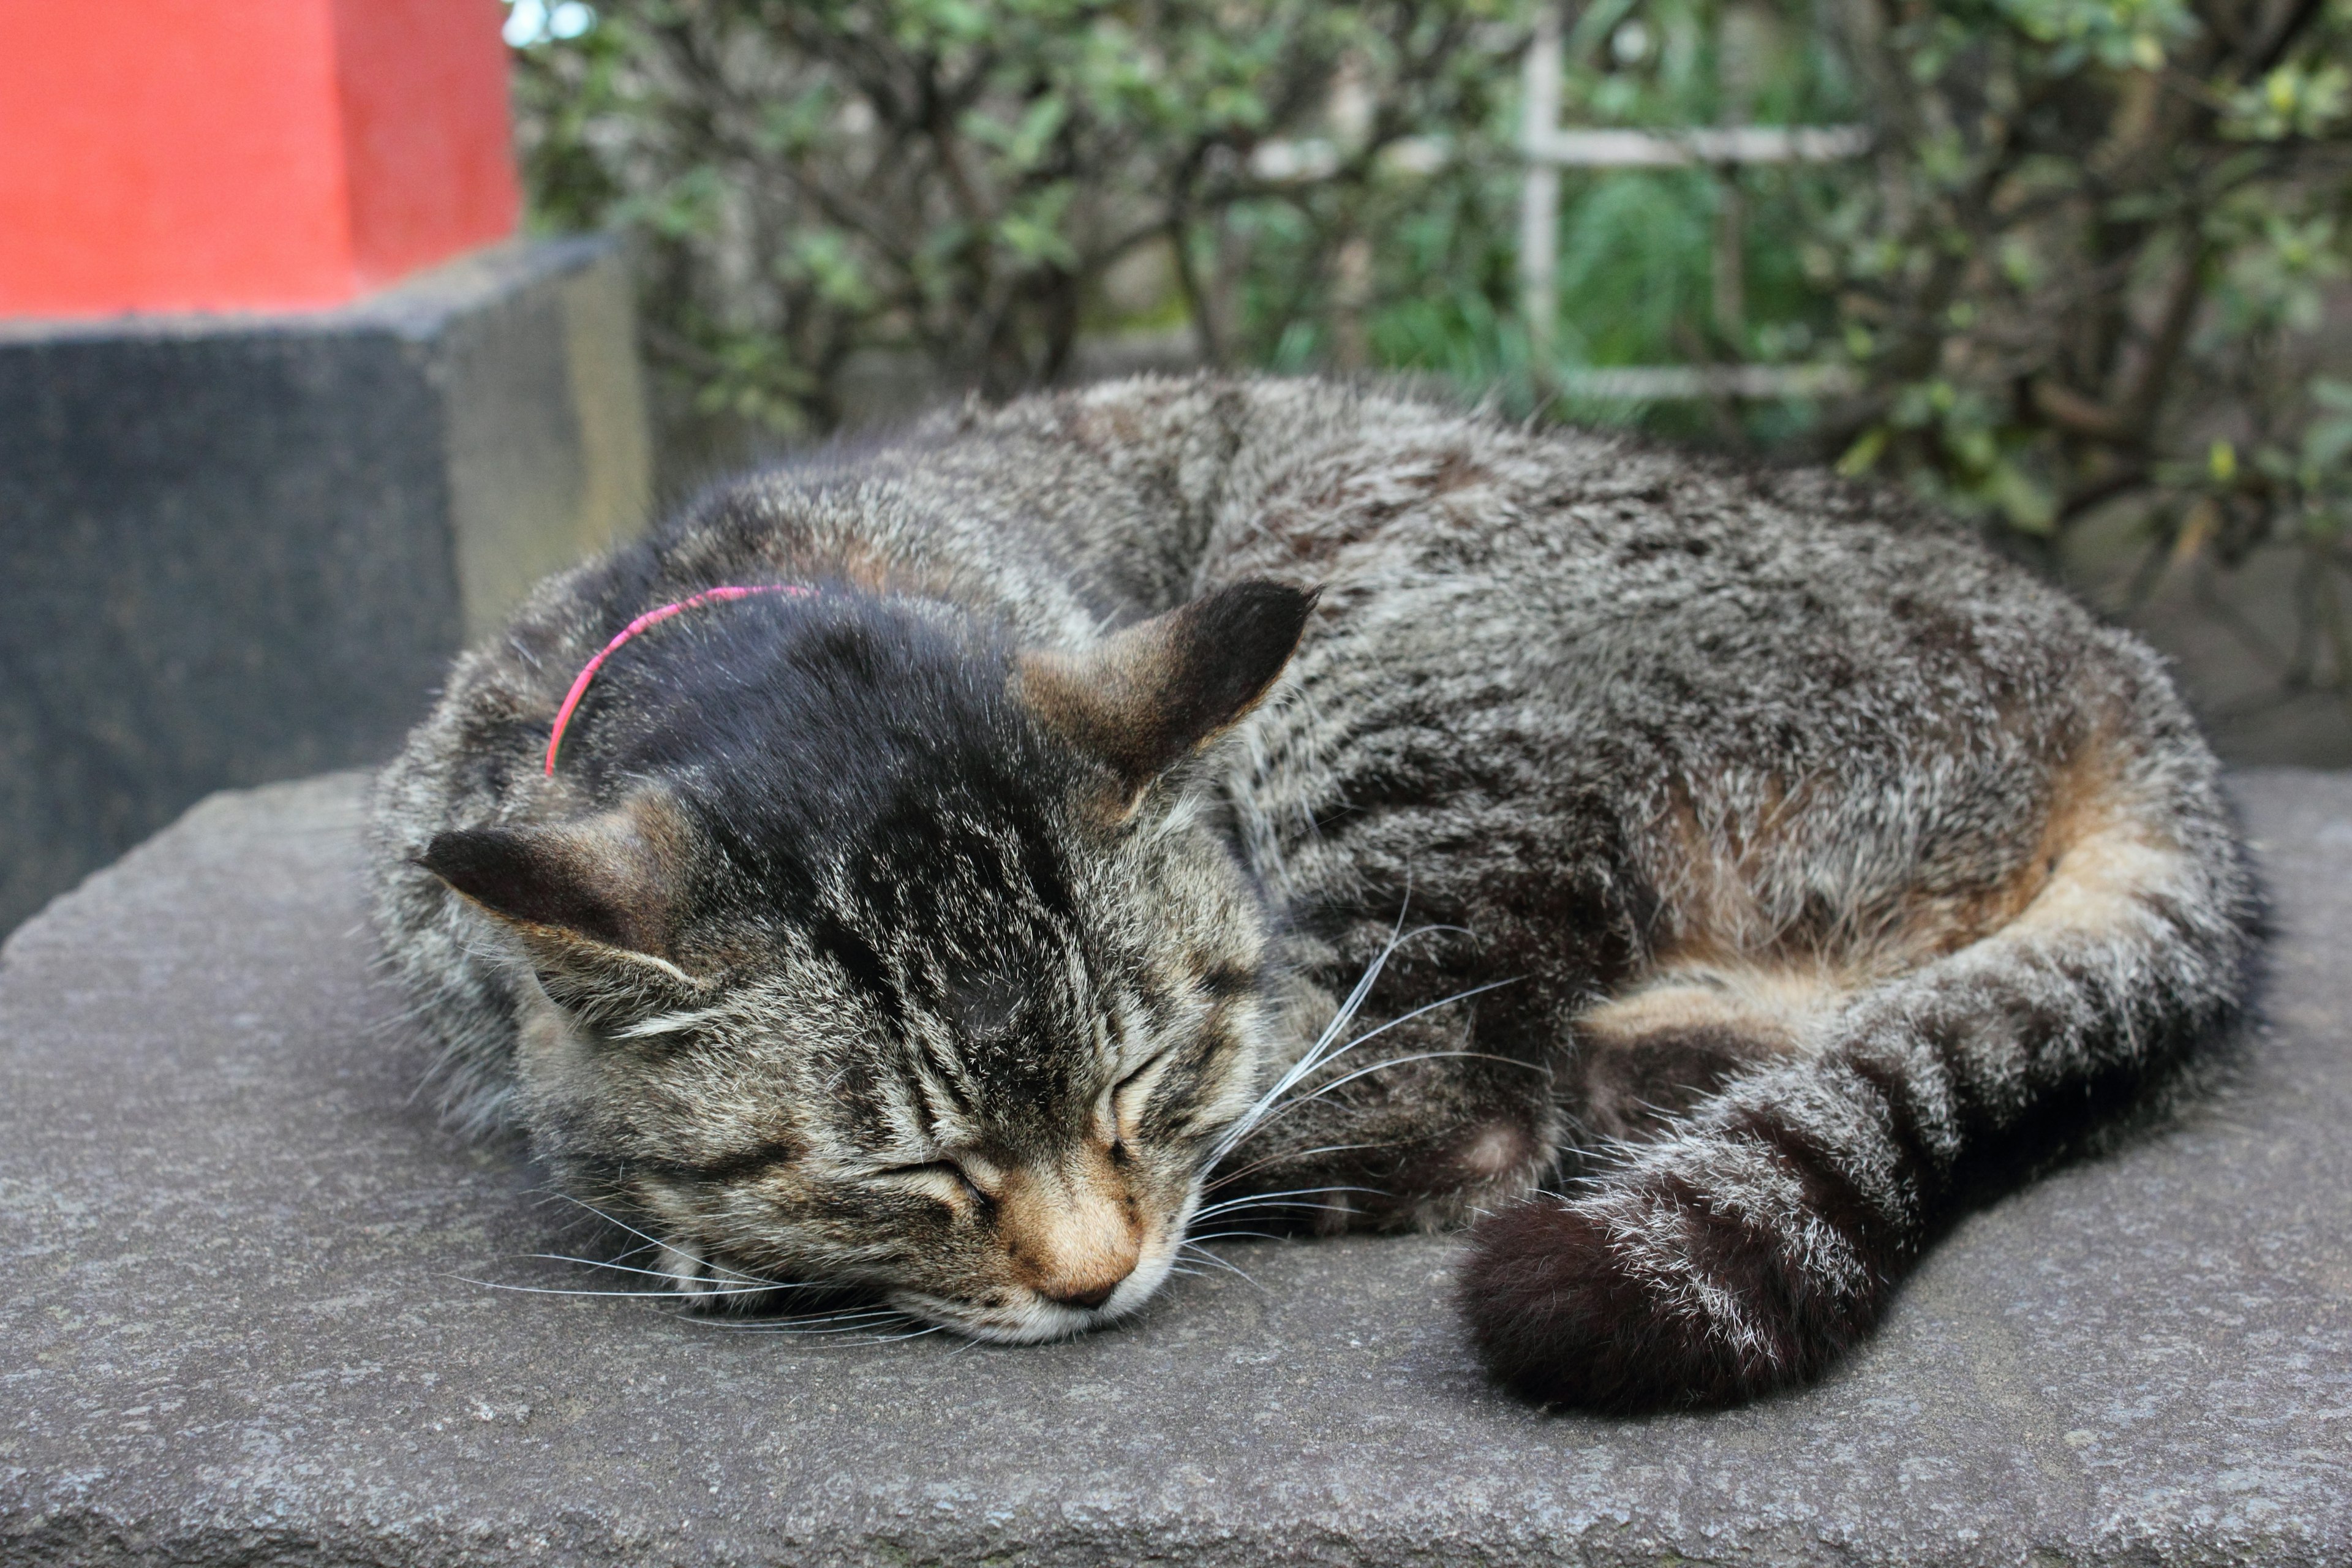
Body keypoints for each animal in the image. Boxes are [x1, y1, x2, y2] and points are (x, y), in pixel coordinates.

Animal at [371, 374, 2258, 1420]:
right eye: (909, 1162)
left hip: (1380, 627)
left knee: (1466, 1102)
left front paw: (728, 1243)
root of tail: (2117, 664)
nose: (1093, 1281)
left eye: (1141, 1075)